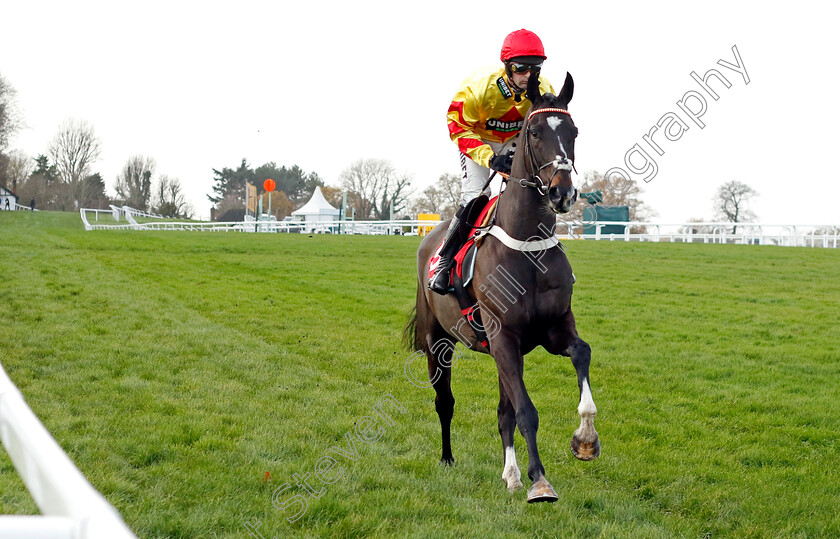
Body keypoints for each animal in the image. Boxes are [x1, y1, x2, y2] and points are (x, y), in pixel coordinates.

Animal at [406, 71, 596, 502]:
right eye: (536, 132)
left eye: (574, 131)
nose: (562, 192)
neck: (528, 246)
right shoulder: (503, 335)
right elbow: (526, 411)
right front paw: (540, 481)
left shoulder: (552, 328)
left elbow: (581, 353)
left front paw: (585, 438)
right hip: (438, 340)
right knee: (445, 401)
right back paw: (447, 458)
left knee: (502, 412)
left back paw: (510, 474)